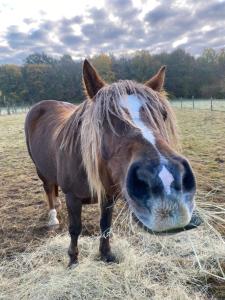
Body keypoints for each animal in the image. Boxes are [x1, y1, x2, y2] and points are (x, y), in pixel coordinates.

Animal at [25, 59, 195, 266]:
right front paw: (73, 260)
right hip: (40, 170)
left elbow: (105, 226)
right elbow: (75, 229)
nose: (166, 182)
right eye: (103, 119)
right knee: (48, 188)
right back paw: (52, 217)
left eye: (163, 114)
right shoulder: (72, 197)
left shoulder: (108, 196)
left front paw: (106, 254)